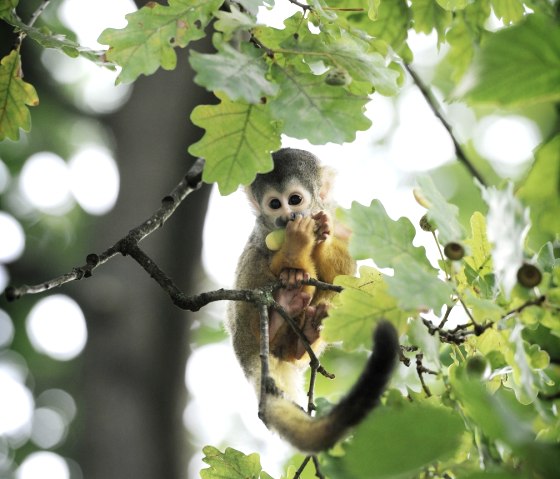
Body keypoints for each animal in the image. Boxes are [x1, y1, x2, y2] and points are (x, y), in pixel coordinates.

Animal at [225, 149, 400, 454]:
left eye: (294, 199)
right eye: (274, 204)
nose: (287, 217)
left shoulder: (339, 216)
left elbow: (344, 270)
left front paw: (321, 236)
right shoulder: (263, 230)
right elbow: (266, 254)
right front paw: (296, 247)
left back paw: (302, 336)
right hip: (241, 320)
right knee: (254, 260)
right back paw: (283, 307)